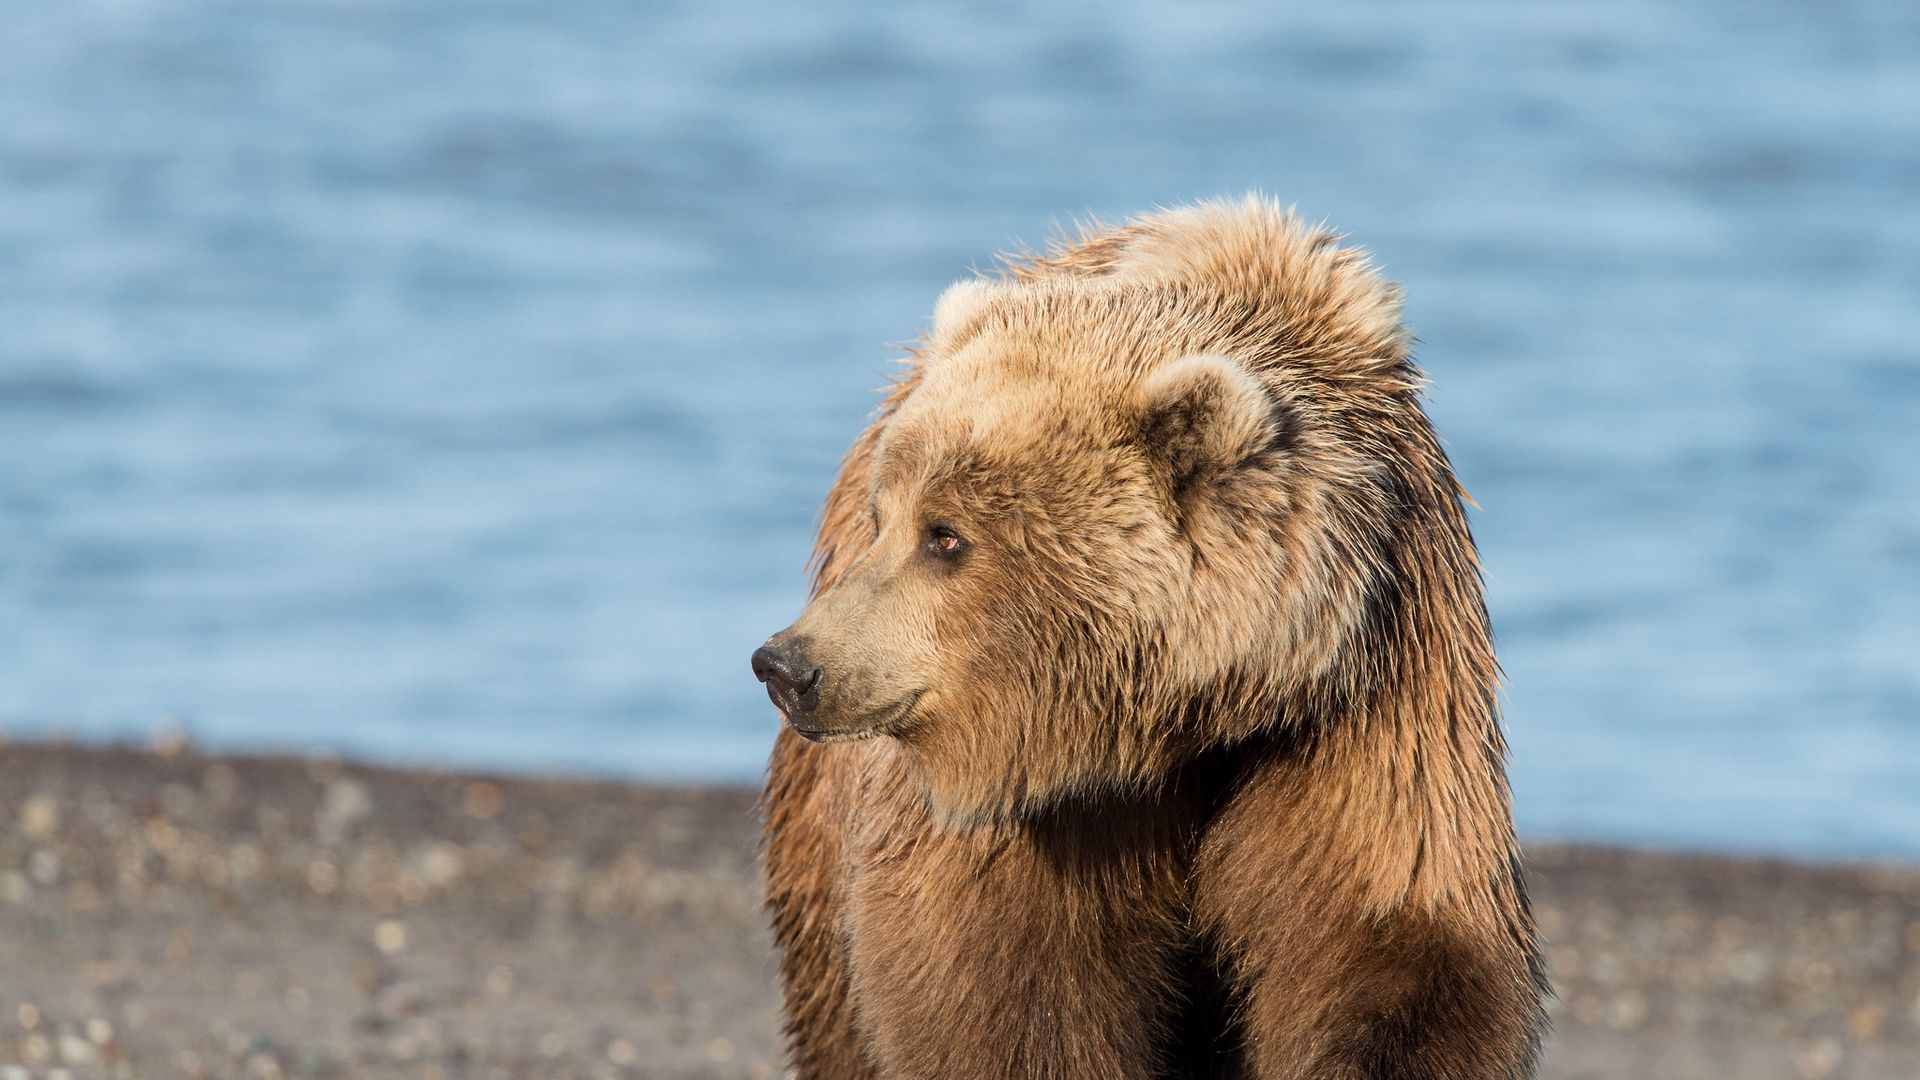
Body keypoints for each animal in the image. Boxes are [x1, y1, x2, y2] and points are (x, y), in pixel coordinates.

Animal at [756, 195, 1551, 1076]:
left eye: (945, 536)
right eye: (884, 518)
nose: (788, 665)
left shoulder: (1370, 692)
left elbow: (1390, 937)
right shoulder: (1037, 798)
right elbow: (1005, 986)